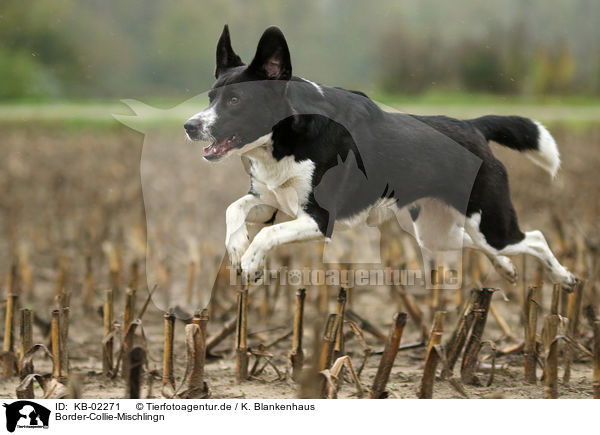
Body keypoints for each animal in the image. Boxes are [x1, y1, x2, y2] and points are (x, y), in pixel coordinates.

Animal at [184, 25, 576, 292]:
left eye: (235, 101)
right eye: (210, 97)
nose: (189, 126)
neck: (286, 137)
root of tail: (472, 127)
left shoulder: (319, 218)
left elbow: (268, 234)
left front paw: (251, 263)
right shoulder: (267, 200)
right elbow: (233, 210)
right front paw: (237, 247)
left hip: (491, 221)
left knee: (535, 237)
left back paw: (565, 277)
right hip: (435, 232)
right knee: (472, 241)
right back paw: (507, 267)